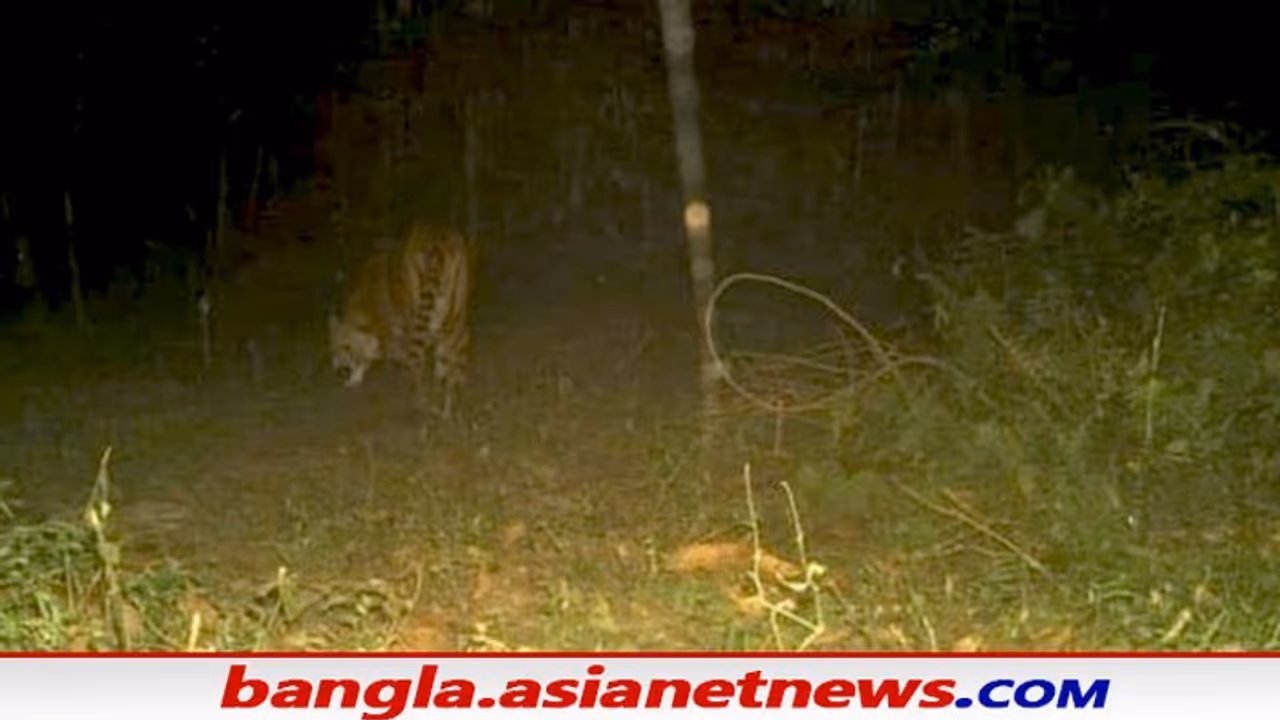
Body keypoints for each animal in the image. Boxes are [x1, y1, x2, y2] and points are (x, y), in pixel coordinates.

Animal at [328, 224, 474, 420]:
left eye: (345, 346)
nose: (340, 375)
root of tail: (435, 242)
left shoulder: (398, 342)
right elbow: (442, 372)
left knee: (418, 371)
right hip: (454, 324)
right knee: (455, 370)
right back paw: (451, 409)